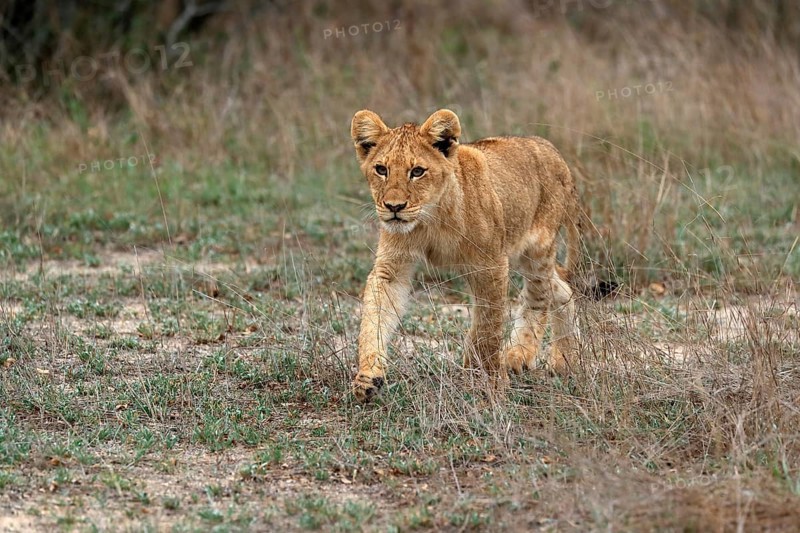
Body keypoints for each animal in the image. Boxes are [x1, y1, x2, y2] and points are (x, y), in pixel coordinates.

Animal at [350, 109, 582, 402]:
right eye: (381, 169)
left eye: (417, 171)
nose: (394, 207)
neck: (431, 218)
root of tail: (551, 149)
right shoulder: (392, 268)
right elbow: (374, 317)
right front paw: (368, 376)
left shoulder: (490, 264)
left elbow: (488, 327)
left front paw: (492, 382)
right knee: (562, 288)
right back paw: (564, 361)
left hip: (537, 249)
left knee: (538, 297)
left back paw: (519, 355)